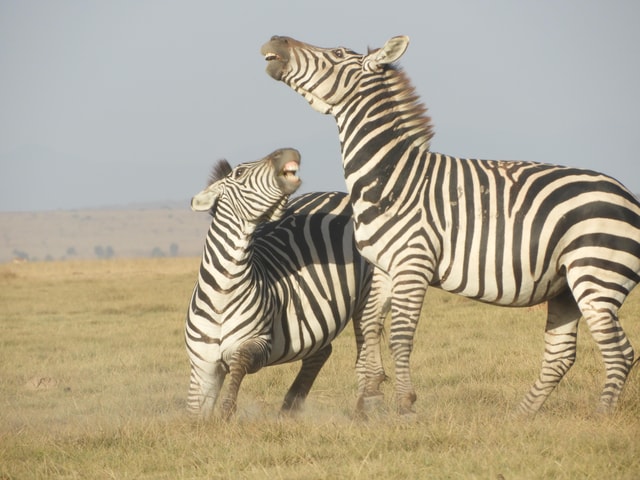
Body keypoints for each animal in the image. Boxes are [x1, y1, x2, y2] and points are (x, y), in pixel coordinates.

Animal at [185, 147, 384, 420]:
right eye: (239, 173)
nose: (288, 152)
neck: (222, 292)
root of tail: (338, 194)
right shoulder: (202, 366)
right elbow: (194, 411)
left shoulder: (260, 341)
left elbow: (240, 360)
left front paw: (227, 411)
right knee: (321, 352)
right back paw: (291, 406)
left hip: (367, 296)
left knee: (365, 351)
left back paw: (363, 408)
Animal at [262, 34, 640, 416]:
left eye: (338, 53)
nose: (275, 40)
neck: (392, 176)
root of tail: (627, 195)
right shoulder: (384, 267)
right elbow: (369, 327)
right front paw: (368, 402)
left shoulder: (413, 261)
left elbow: (400, 335)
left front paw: (405, 404)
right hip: (565, 287)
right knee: (561, 354)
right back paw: (520, 417)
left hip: (595, 276)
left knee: (620, 353)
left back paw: (601, 415)